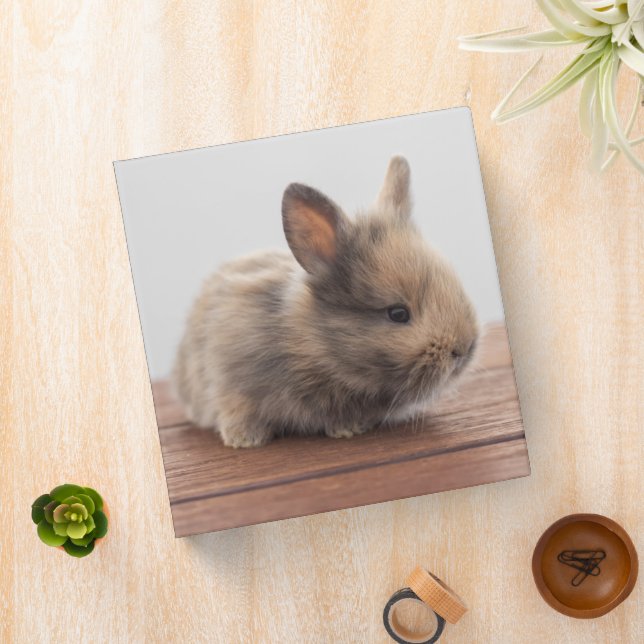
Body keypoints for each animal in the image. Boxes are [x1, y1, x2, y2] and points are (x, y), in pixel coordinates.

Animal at [173, 156, 479, 448]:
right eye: (398, 314)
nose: (464, 349)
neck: (312, 347)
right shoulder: (231, 380)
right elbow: (236, 408)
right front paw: (245, 440)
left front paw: (349, 428)